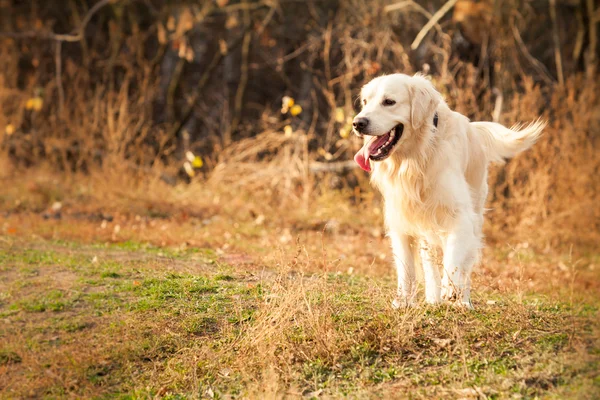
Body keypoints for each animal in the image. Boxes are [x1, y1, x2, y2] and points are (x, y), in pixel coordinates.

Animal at [352, 73, 544, 308]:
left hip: (475, 214)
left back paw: (463, 301)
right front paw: (403, 301)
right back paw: (433, 299)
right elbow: (406, 269)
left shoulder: (460, 216)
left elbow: (454, 259)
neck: (418, 156)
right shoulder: (401, 221)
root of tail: (474, 128)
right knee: (430, 263)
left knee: (466, 262)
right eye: (365, 102)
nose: (358, 123)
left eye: (389, 102)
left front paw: (451, 289)